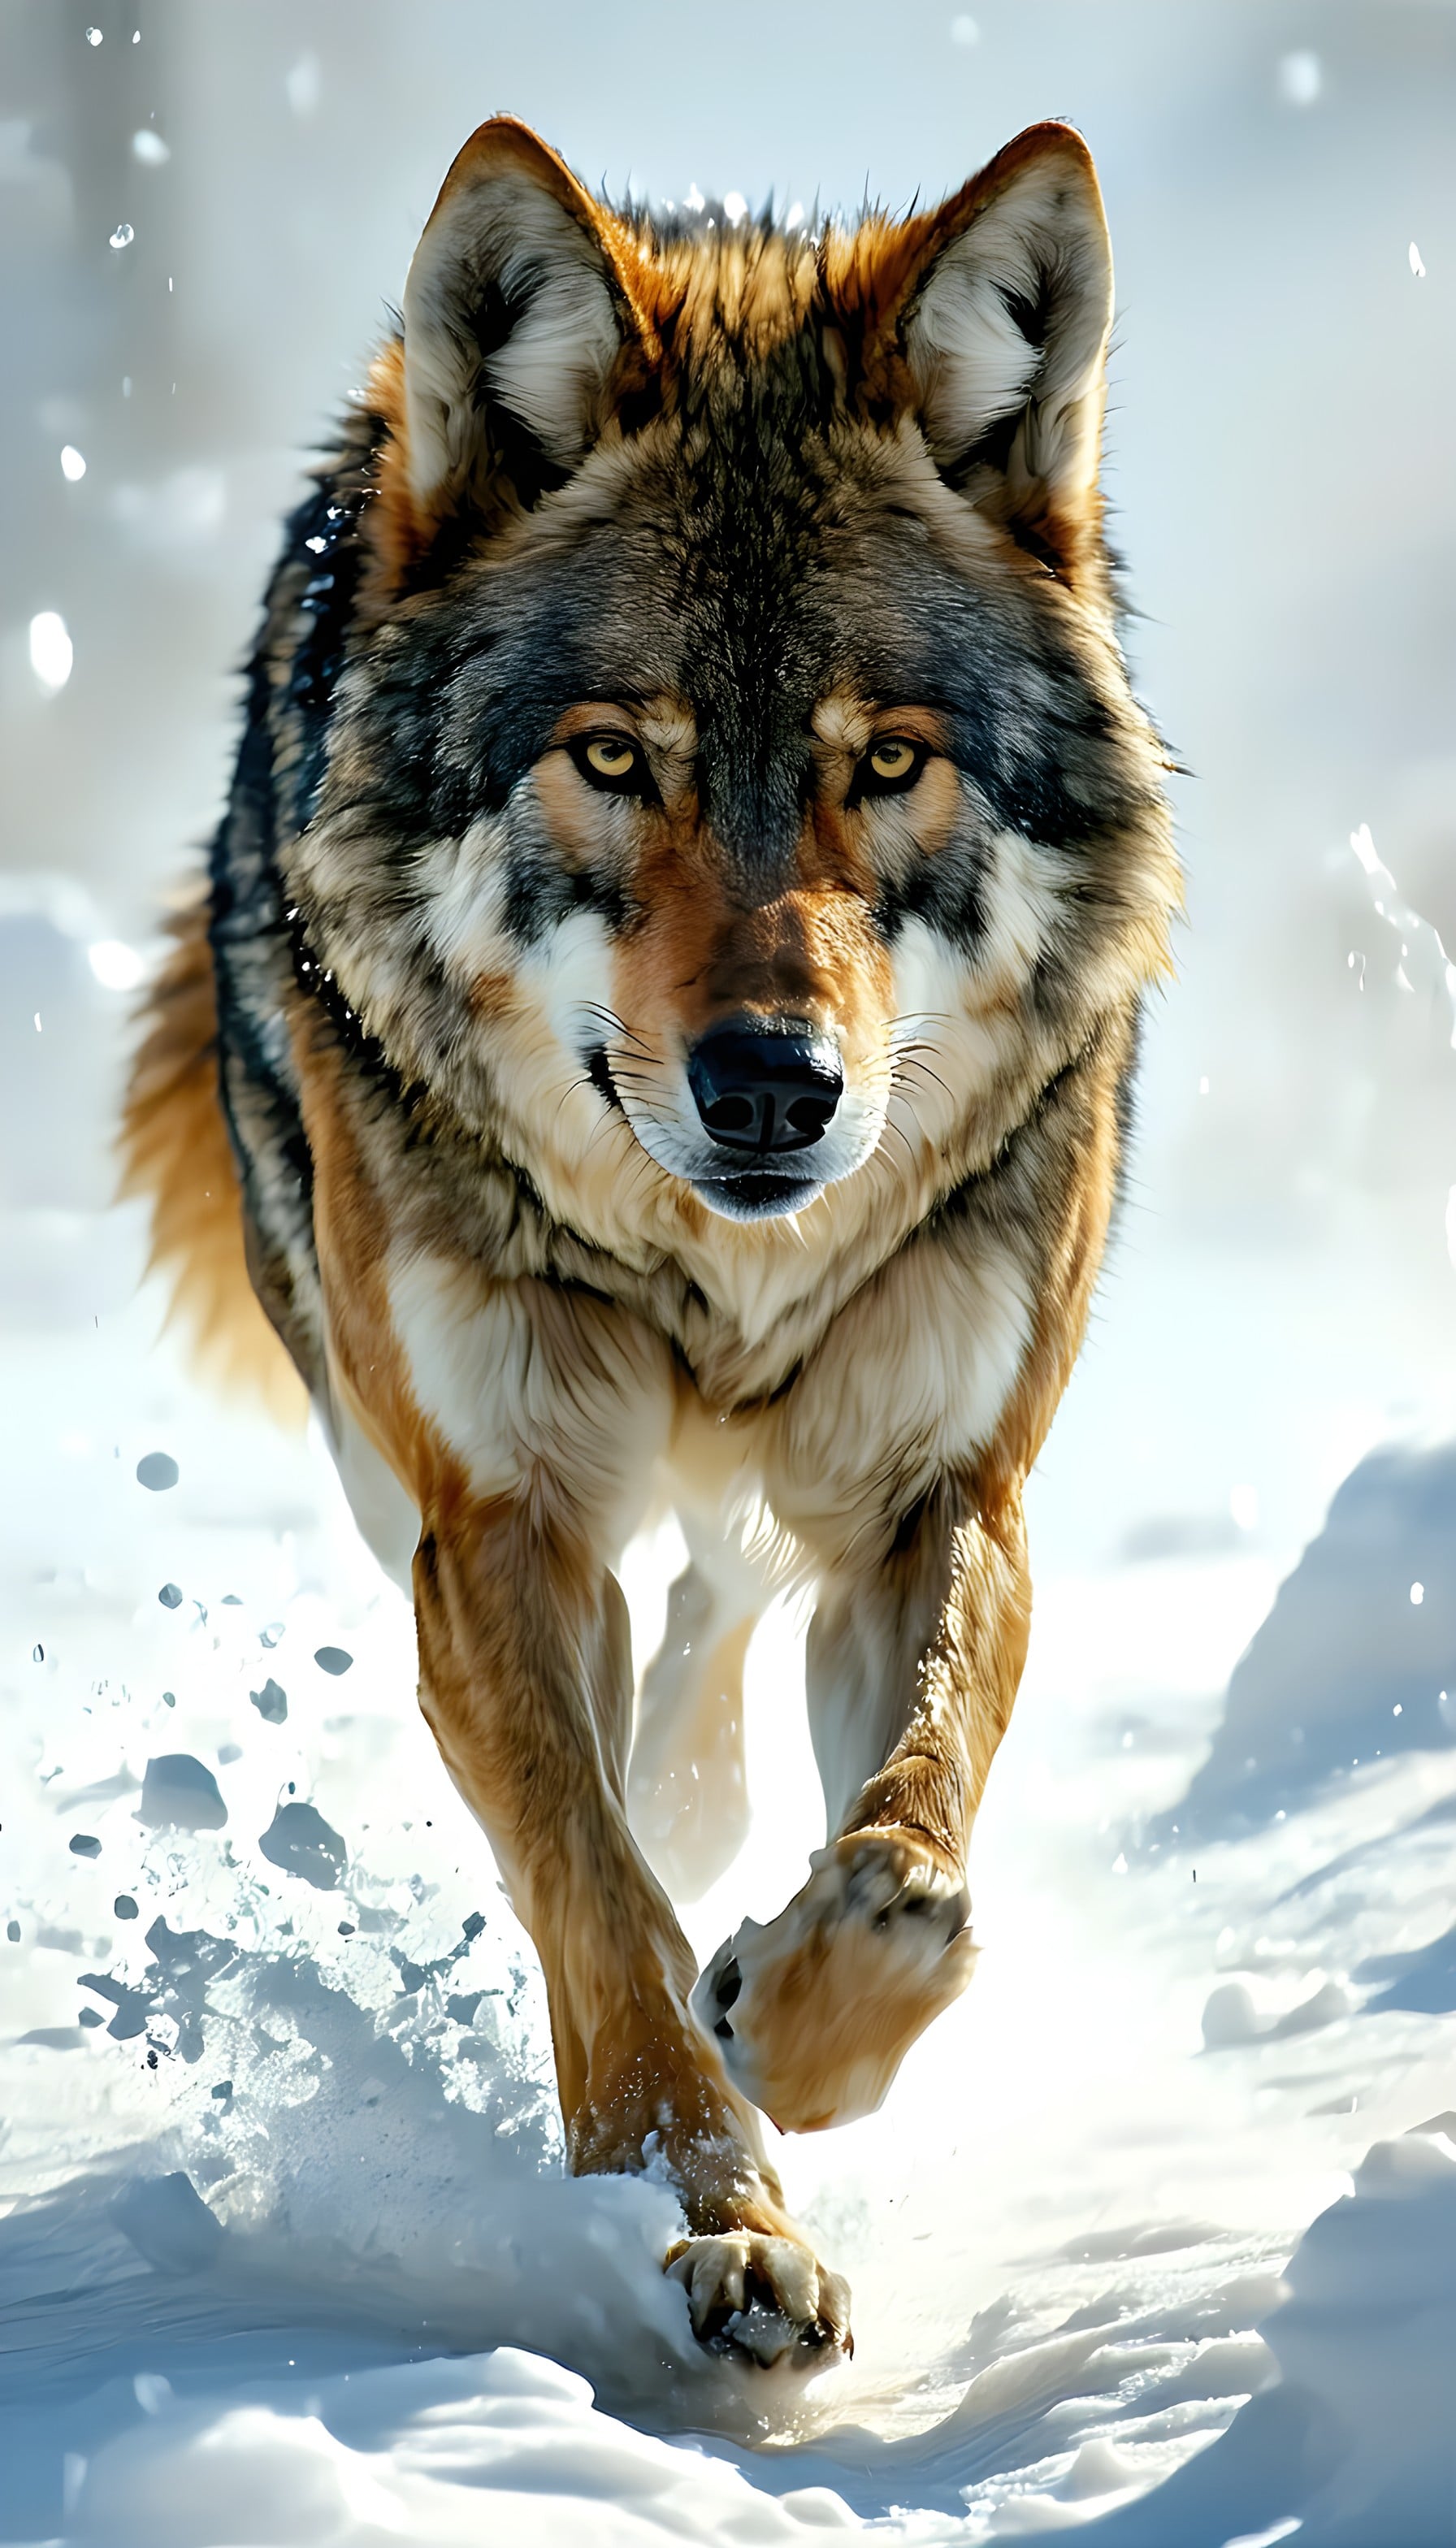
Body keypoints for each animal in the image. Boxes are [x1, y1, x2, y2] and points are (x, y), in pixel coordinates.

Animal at [123, 113, 1178, 2365]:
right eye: (615, 757)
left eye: (889, 761)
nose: (773, 1086)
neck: (720, 1278)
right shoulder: (495, 1526)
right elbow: (592, 1897)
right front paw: (717, 2220)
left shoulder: (944, 1492)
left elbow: (919, 1865)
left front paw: (792, 2012)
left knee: (716, 1622)